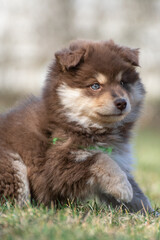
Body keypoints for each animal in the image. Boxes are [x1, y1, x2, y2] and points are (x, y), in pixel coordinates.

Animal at [0, 39, 153, 214]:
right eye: (95, 86)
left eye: (123, 83)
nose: (122, 102)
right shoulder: (58, 165)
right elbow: (100, 159)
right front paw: (123, 187)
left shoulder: (119, 158)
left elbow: (138, 196)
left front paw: (150, 213)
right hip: (12, 166)